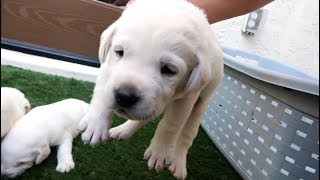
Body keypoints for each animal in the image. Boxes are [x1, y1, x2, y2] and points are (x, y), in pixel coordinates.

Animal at [78, 0, 222, 179]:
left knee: (186, 135)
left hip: (202, 101)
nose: (124, 96)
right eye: (119, 52)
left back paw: (178, 162)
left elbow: (171, 123)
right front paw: (95, 124)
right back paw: (123, 130)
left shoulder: (188, 97)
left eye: (169, 69)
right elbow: (101, 93)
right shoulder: (107, 66)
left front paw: (160, 151)